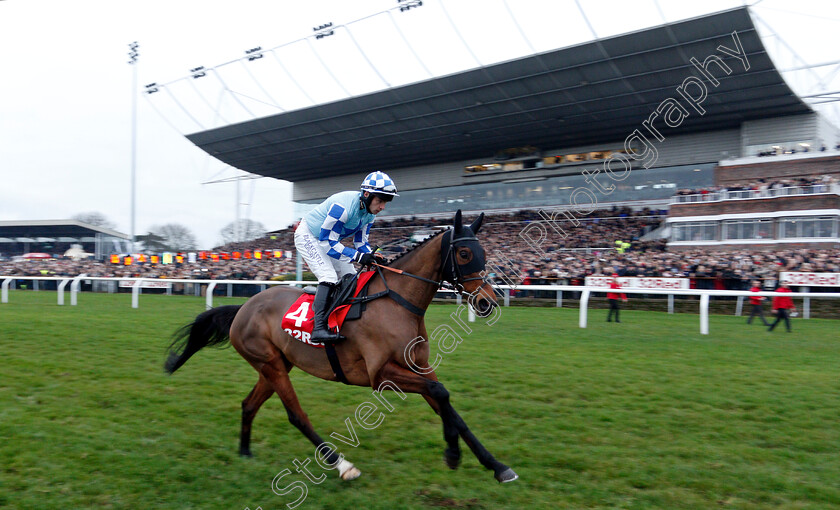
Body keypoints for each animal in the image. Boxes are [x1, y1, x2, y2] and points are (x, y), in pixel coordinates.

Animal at [165, 209, 520, 484]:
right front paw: (453, 453)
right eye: (464, 254)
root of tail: (243, 308)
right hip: (271, 364)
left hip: (274, 364)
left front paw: (495, 465)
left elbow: (446, 403)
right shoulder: (381, 376)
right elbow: (440, 393)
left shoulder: (419, 367)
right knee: (296, 415)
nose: (488, 302)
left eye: (483, 252)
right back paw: (341, 465)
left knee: (249, 404)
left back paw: (245, 451)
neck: (397, 300)